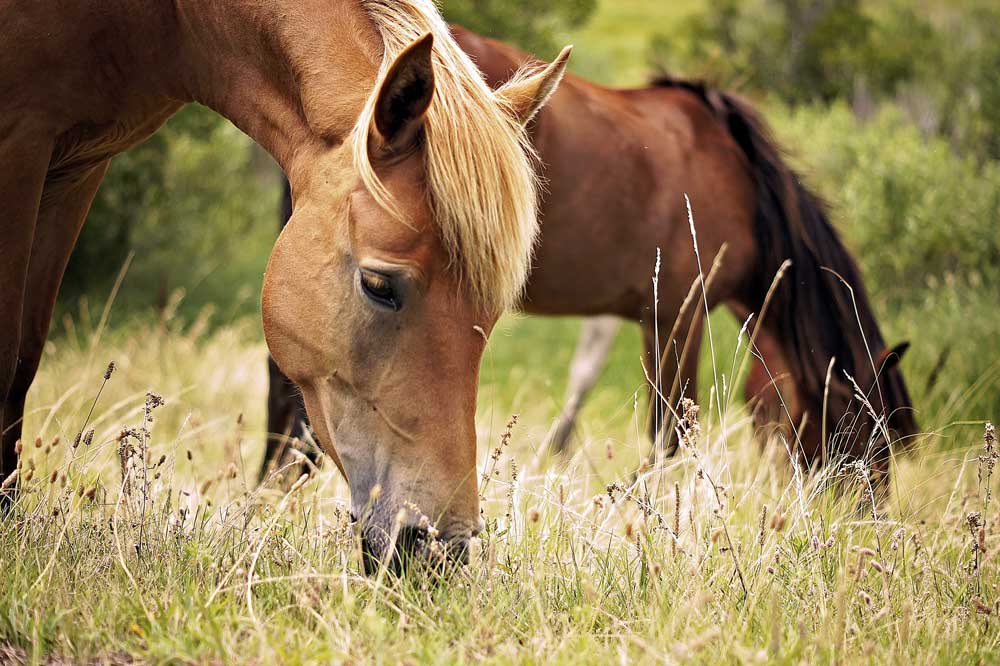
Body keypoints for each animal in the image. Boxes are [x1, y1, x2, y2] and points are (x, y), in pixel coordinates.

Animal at [0, 1, 572, 572]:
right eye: (378, 284)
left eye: (490, 314)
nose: (438, 550)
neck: (165, 21)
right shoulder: (20, 145)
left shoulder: (77, 171)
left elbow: (25, 358)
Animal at [262, 26, 916, 482]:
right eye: (865, 441)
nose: (864, 519)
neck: (739, 181)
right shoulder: (678, 315)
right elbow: (670, 436)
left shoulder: (625, 312)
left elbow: (586, 383)